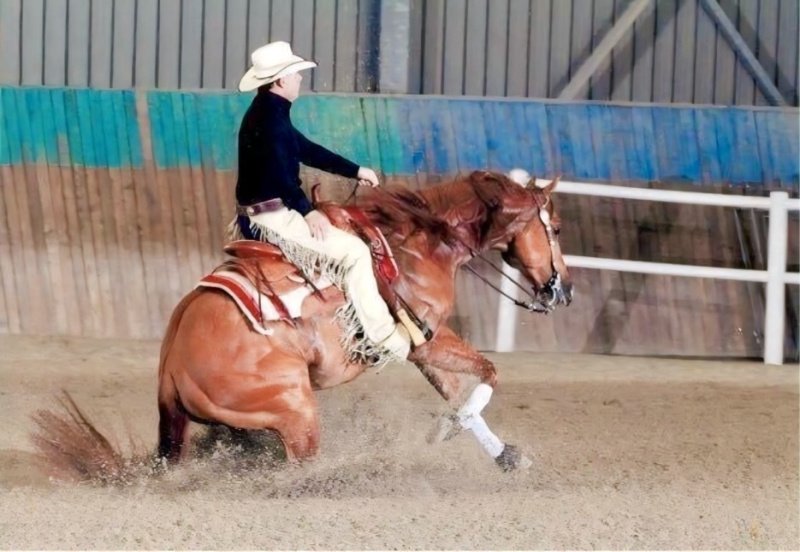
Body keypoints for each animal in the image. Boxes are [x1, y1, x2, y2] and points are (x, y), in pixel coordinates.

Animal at [155, 168, 568, 470]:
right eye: (557, 228)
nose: (564, 290)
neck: (418, 245)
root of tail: (174, 364)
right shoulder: (428, 340)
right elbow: (488, 374)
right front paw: (447, 430)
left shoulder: (422, 348)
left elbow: (457, 392)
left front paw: (505, 455)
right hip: (299, 416)